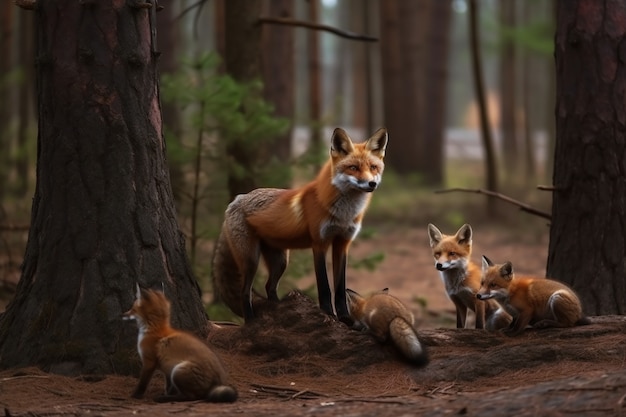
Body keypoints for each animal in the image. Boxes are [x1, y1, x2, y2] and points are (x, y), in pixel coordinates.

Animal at [211, 127, 386, 324]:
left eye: (373, 167)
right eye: (353, 168)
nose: (372, 183)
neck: (343, 214)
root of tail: (237, 199)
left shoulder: (342, 244)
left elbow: (341, 289)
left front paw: (345, 318)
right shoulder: (319, 244)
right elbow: (324, 287)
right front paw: (328, 314)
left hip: (280, 261)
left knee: (269, 287)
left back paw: (280, 311)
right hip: (251, 260)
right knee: (244, 292)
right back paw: (251, 322)